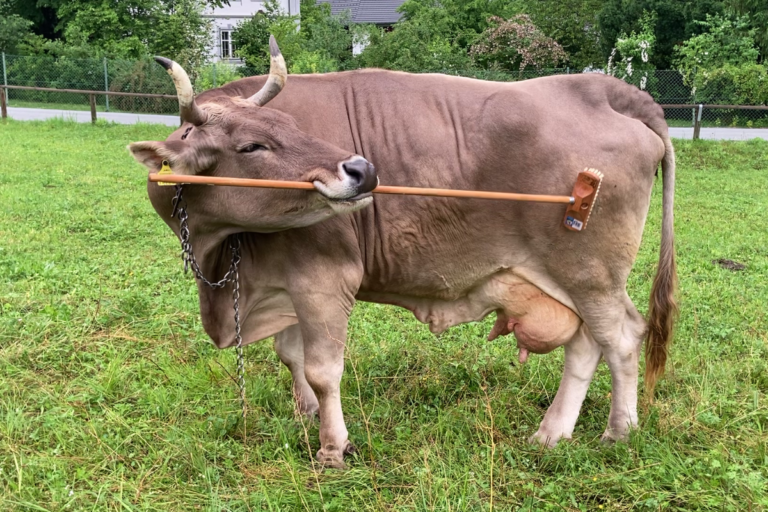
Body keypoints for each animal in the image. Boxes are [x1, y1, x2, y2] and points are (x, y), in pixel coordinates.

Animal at [129, 38, 677, 469]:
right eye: (251, 146)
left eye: (291, 124)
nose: (363, 169)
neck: (221, 256)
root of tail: (607, 90)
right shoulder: (282, 282)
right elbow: (290, 356)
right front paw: (305, 416)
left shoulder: (323, 278)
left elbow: (323, 370)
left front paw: (332, 447)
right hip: (570, 282)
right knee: (585, 343)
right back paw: (552, 432)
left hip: (591, 274)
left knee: (621, 338)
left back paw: (618, 431)